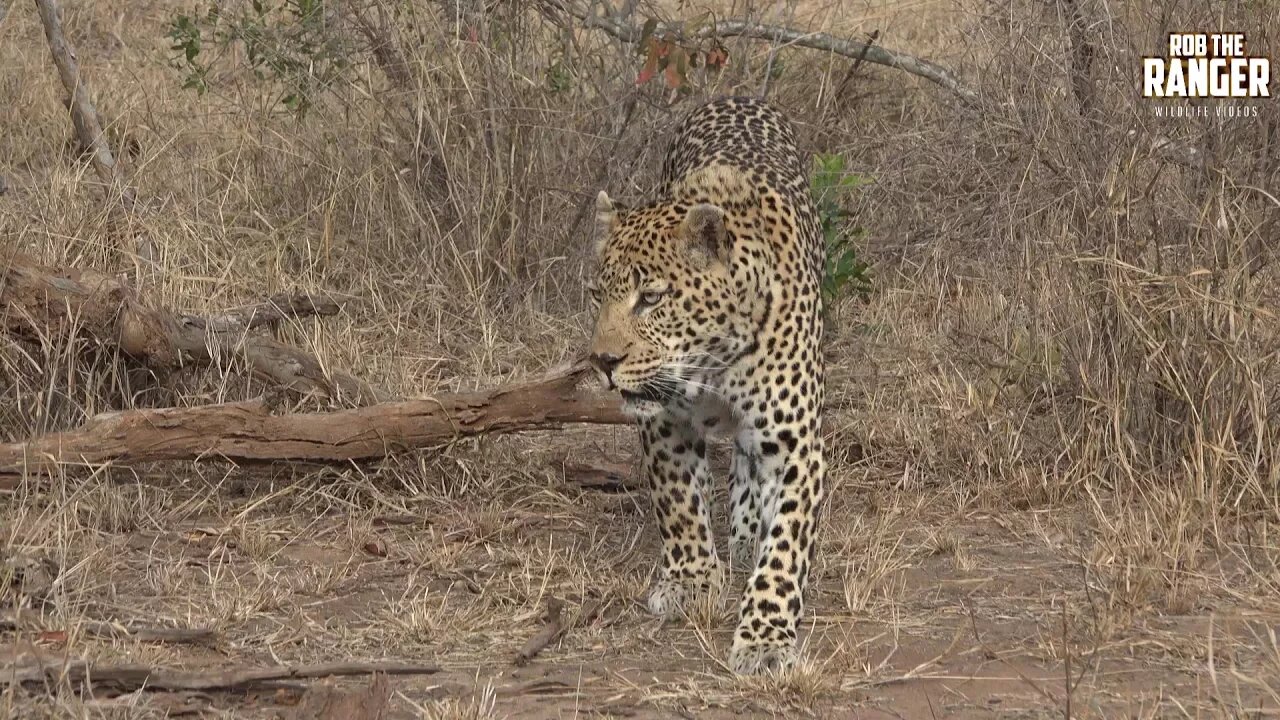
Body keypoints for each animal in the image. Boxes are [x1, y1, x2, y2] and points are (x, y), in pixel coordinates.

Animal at [586, 95, 824, 671]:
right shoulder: (664, 423)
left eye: (651, 298)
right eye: (598, 295)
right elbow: (679, 506)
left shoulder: (797, 444)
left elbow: (785, 547)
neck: (714, 359)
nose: (602, 360)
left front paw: (765, 637)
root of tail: (736, 95)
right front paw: (691, 581)